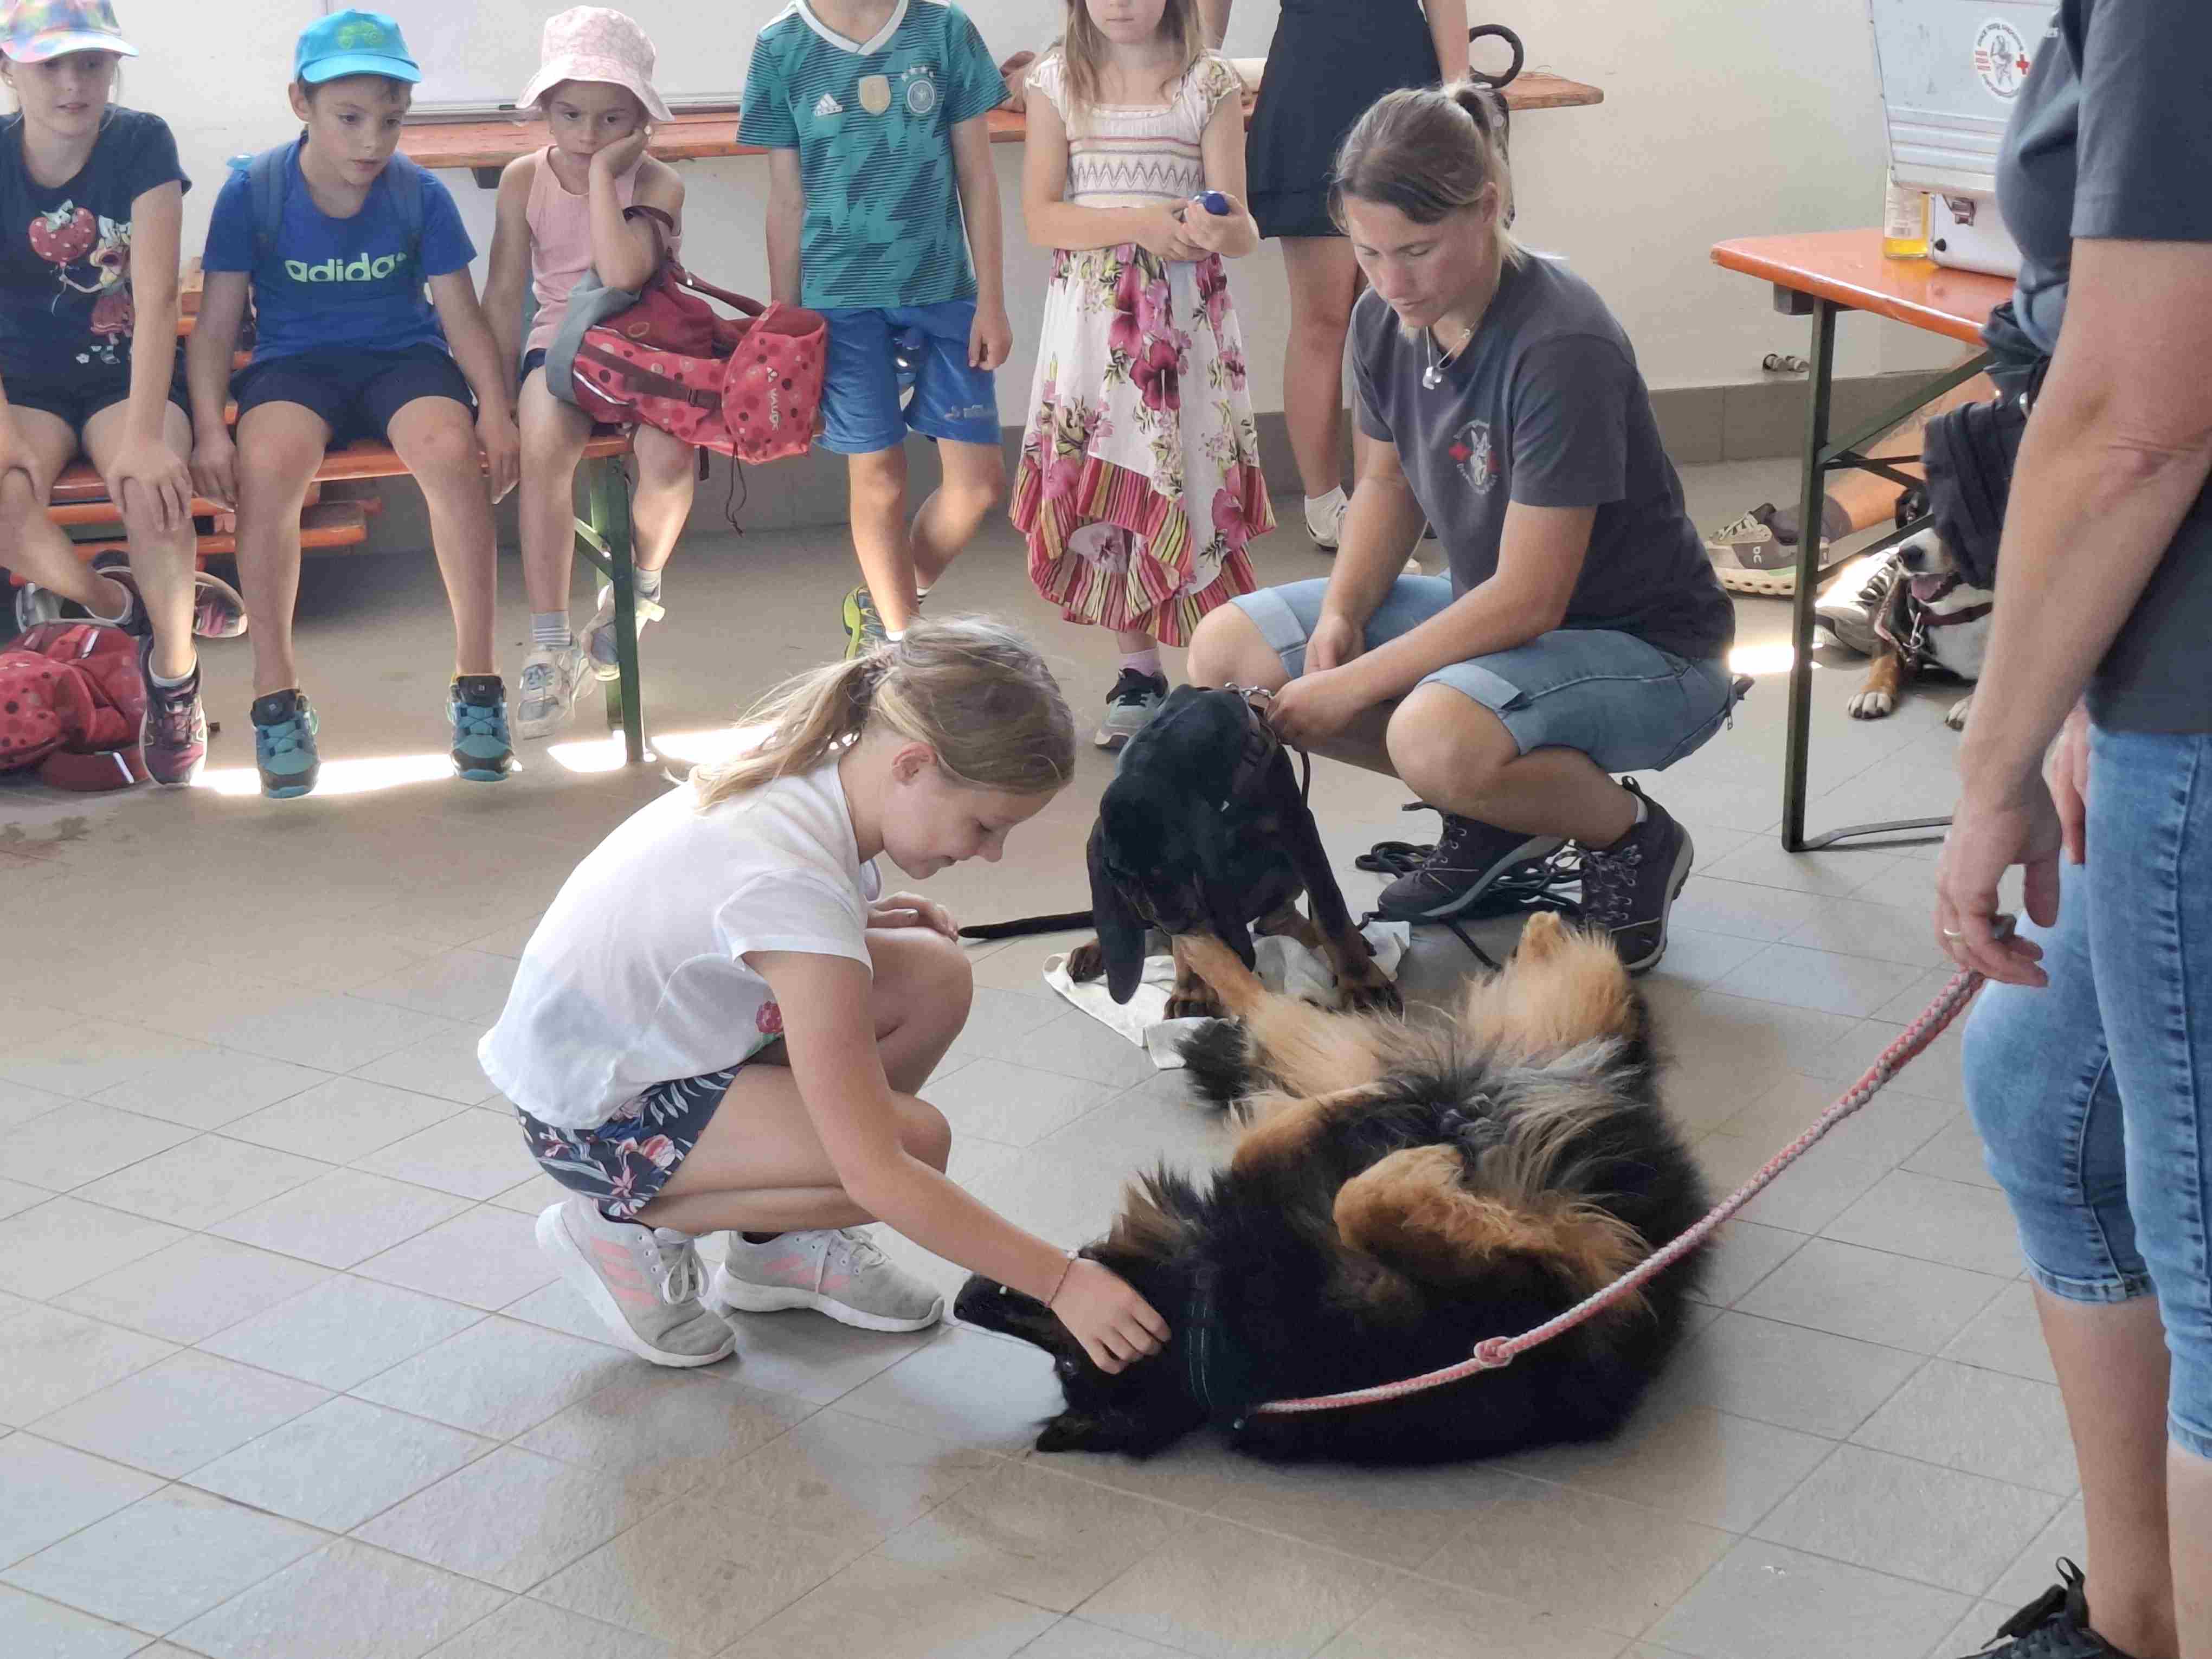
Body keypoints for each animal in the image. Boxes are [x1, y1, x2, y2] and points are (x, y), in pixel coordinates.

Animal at [957, 913, 1711, 1465]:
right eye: (1070, 1358)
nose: (969, 1293)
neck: (1204, 1318)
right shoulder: (1560, 1285)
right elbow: (1362, 1201)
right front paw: (1421, 1157)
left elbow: (1269, 1147)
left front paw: (1369, 1118)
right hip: (1534, 1032)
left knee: (1272, 1014)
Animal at [1065, 685, 1398, 1021]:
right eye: (1121, 878)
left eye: (1176, 863)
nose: (1173, 925)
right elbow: (1189, 945)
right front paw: (1193, 990)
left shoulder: (1297, 825)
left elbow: (1330, 911)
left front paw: (1362, 982)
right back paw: (1095, 950)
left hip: (1286, 872)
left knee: (1277, 920)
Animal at [1842, 526, 1993, 730]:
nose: (1905, 554)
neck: (1959, 611)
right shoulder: (1887, 631)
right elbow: (1885, 660)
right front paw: (1871, 692)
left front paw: (1970, 705)